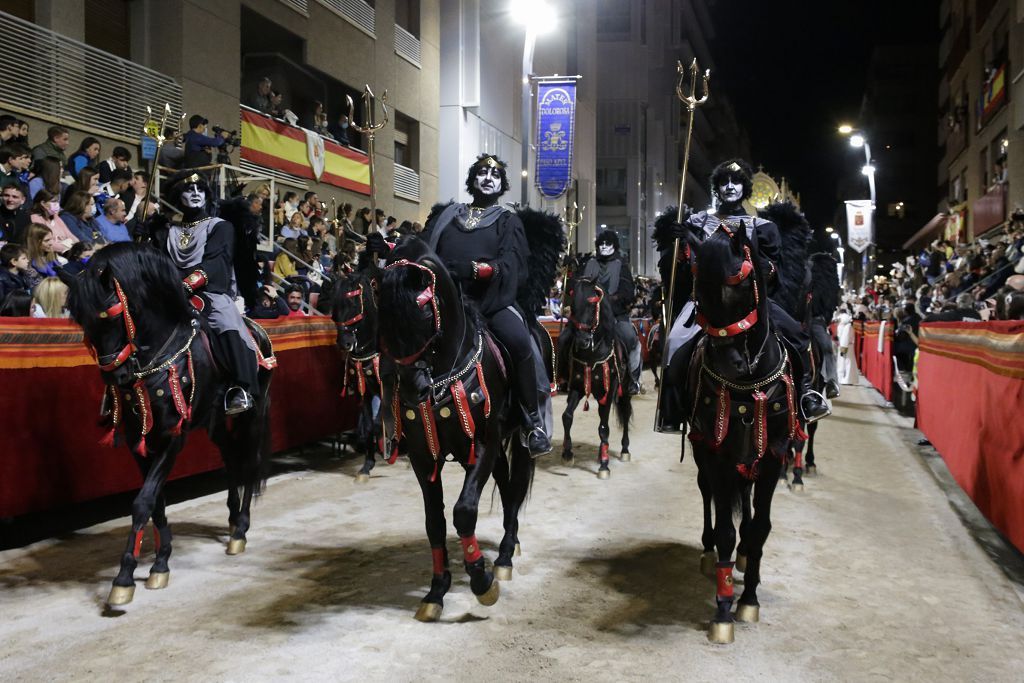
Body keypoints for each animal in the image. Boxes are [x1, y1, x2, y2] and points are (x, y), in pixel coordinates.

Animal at [65, 242, 274, 606]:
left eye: (113, 317)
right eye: (83, 322)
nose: (116, 377)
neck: (154, 358)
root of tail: (256, 329)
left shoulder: (171, 438)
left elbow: (143, 502)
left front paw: (124, 578)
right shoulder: (138, 440)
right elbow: (156, 502)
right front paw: (160, 562)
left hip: (252, 414)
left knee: (248, 463)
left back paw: (240, 530)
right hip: (214, 422)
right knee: (232, 461)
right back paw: (232, 519)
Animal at [376, 237, 536, 622]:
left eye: (423, 313)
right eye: (382, 317)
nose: (412, 390)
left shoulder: (483, 442)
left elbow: (464, 511)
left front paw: (481, 580)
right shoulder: (423, 456)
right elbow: (434, 521)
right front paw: (436, 590)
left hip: (518, 441)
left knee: (514, 490)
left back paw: (504, 556)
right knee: (506, 487)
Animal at [557, 274, 626, 479]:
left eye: (592, 304)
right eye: (573, 306)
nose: (583, 340)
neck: (592, 354)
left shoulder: (610, 389)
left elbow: (604, 426)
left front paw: (604, 466)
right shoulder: (577, 387)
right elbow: (567, 416)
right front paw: (567, 454)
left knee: (624, 416)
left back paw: (624, 451)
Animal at [684, 225, 802, 647]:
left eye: (738, 290)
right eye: (698, 295)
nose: (730, 364)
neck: (748, 387)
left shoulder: (774, 456)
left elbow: (759, 528)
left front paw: (748, 598)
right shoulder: (716, 455)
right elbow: (725, 531)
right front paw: (722, 610)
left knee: (748, 505)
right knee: (707, 495)